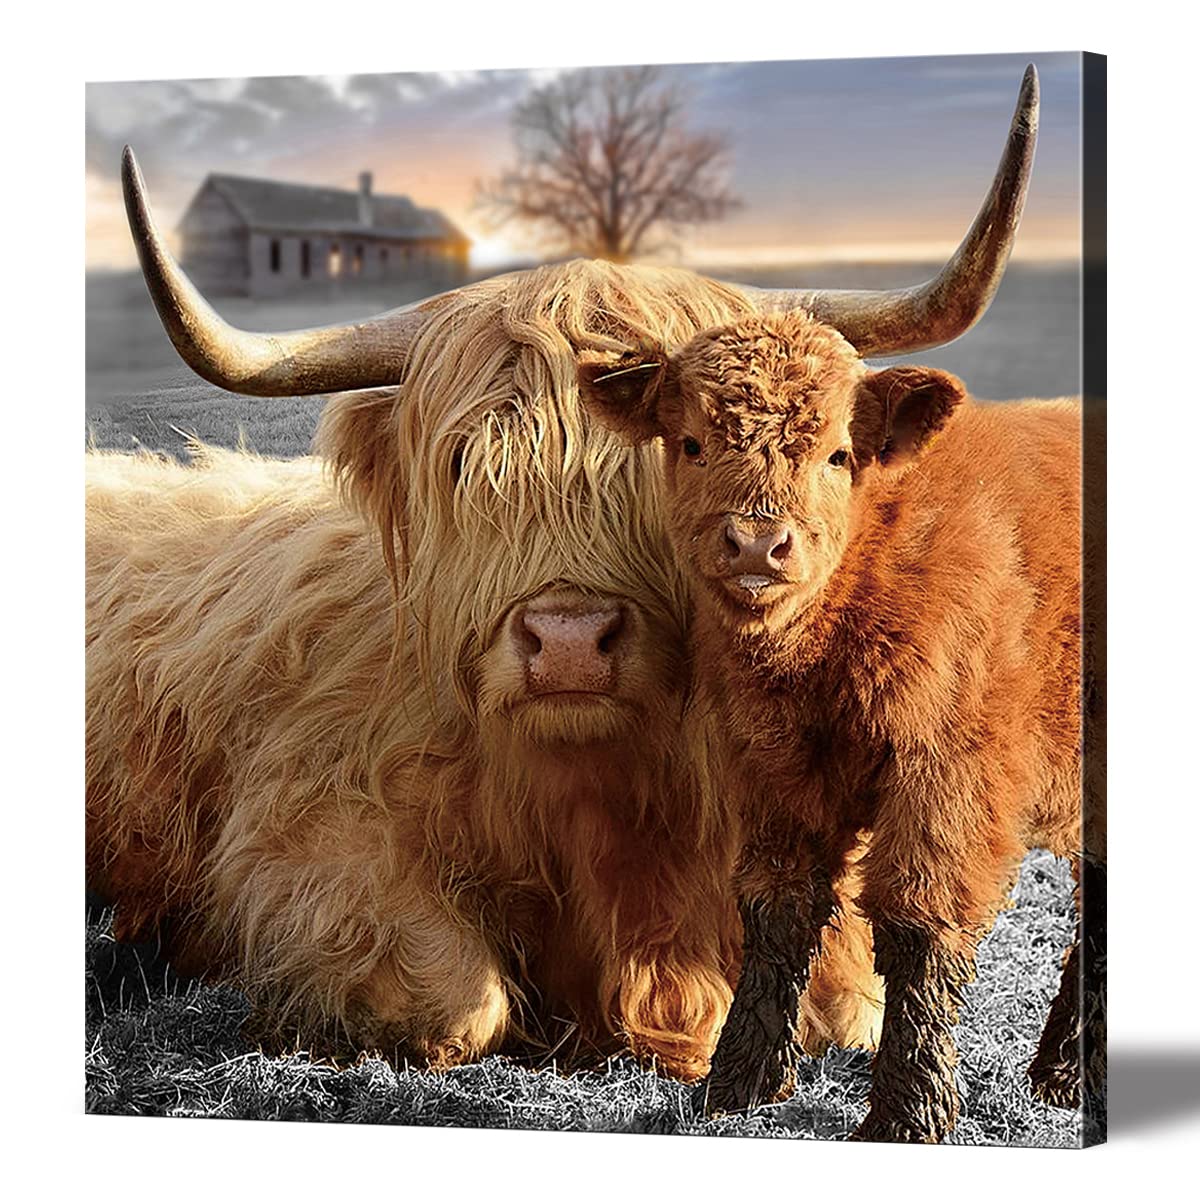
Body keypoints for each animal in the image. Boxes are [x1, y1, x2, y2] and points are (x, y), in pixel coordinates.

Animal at [87, 68, 1042, 1091]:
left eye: (679, 450)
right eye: (463, 464)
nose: (571, 644)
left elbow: (845, 1002)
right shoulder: (298, 840)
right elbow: (457, 1002)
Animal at [575, 101, 1099, 1137]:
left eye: (837, 454)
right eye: (688, 442)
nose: (756, 543)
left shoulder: (951, 775)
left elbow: (917, 925)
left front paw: (908, 1112)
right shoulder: (773, 769)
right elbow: (777, 911)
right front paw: (736, 1086)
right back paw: (1061, 1071)